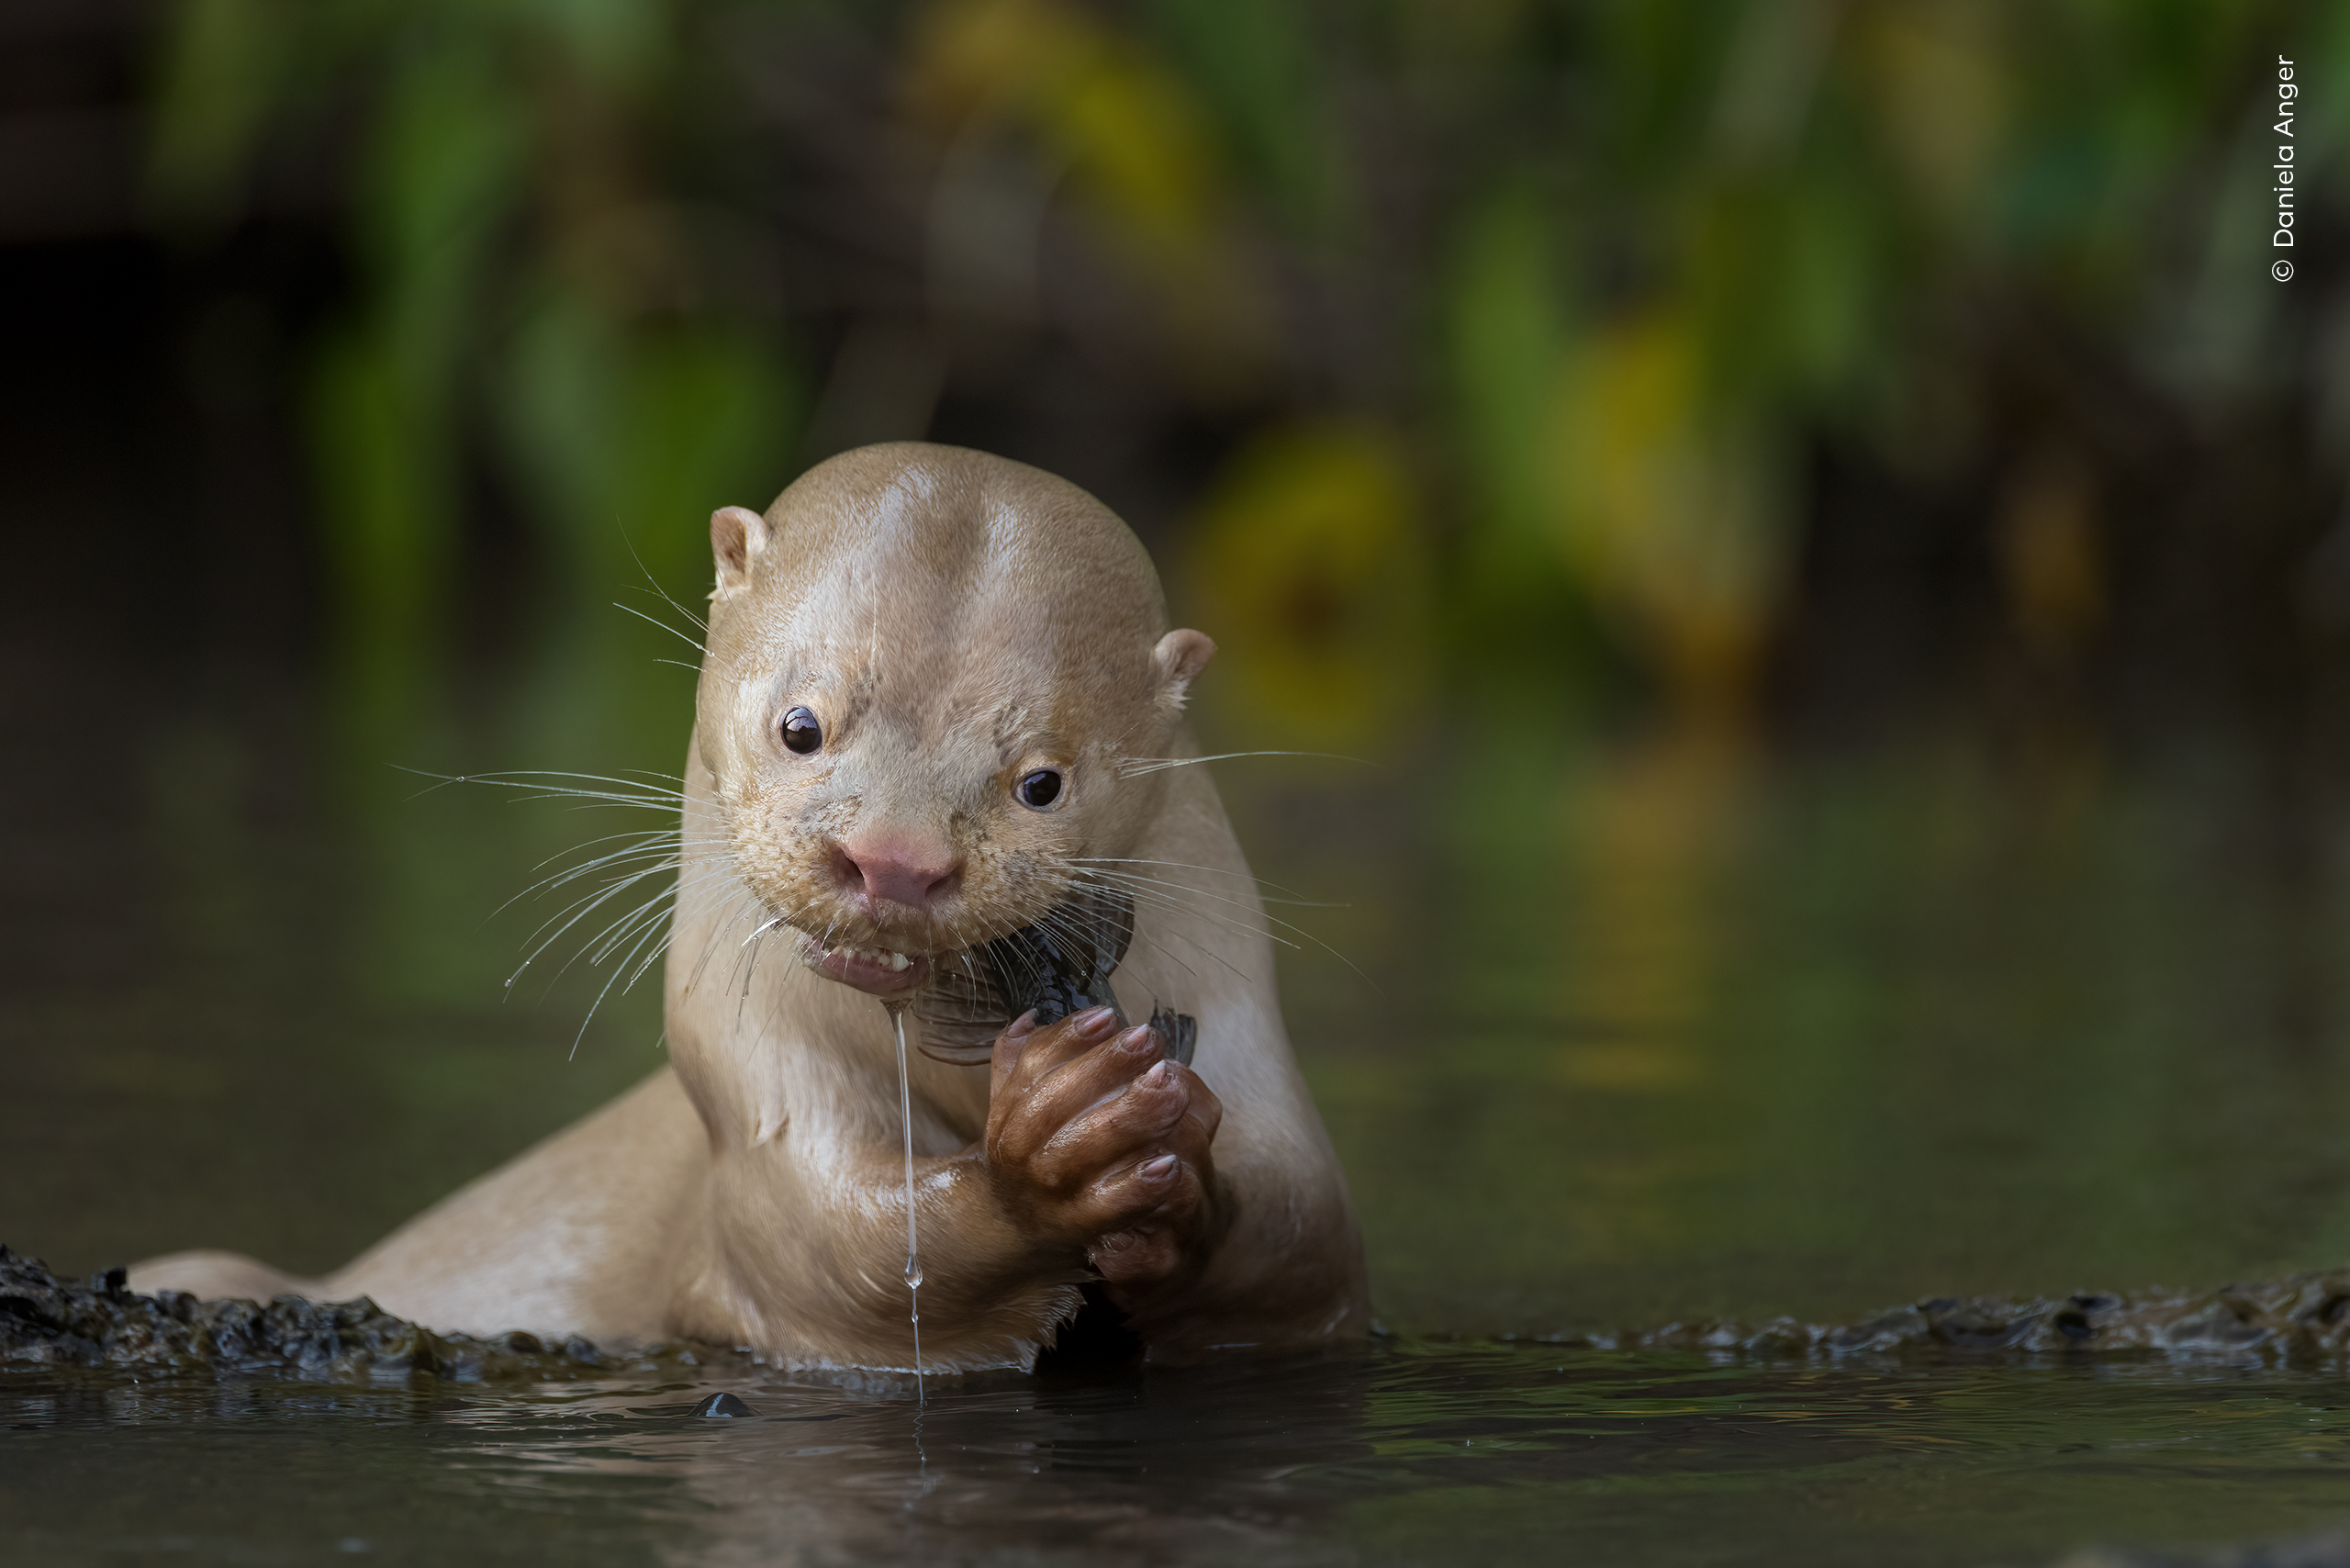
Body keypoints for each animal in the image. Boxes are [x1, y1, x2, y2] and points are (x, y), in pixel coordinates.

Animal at [130, 442, 1371, 1370]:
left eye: (1042, 782)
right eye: (801, 724)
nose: (893, 859)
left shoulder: (1245, 1042)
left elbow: (1302, 1234)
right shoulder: (752, 1088)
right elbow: (831, 1247)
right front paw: (1062, 1141)